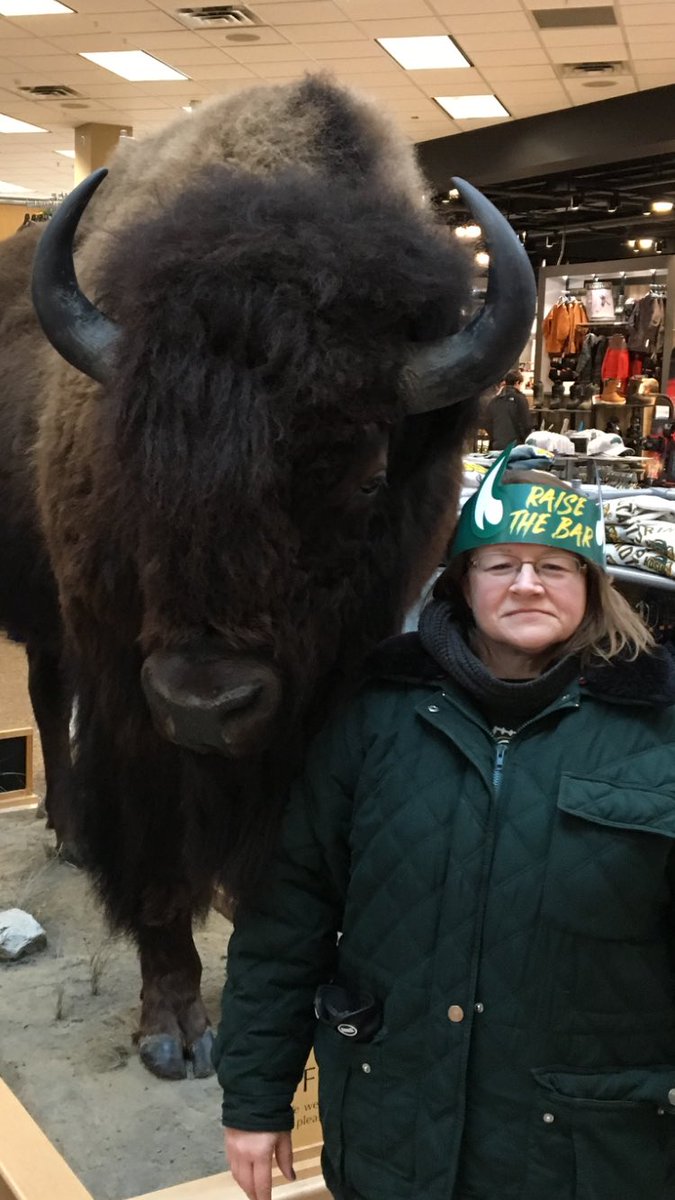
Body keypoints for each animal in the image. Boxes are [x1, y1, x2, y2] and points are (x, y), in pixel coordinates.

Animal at [0, 75, 534, 1078]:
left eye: (365, 475)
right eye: (132, 462)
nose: (206, 706)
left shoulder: (327, 686)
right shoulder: (130, 693)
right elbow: (157, 858)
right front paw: (174, 1030)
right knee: (53, 705)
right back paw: (69, 831)